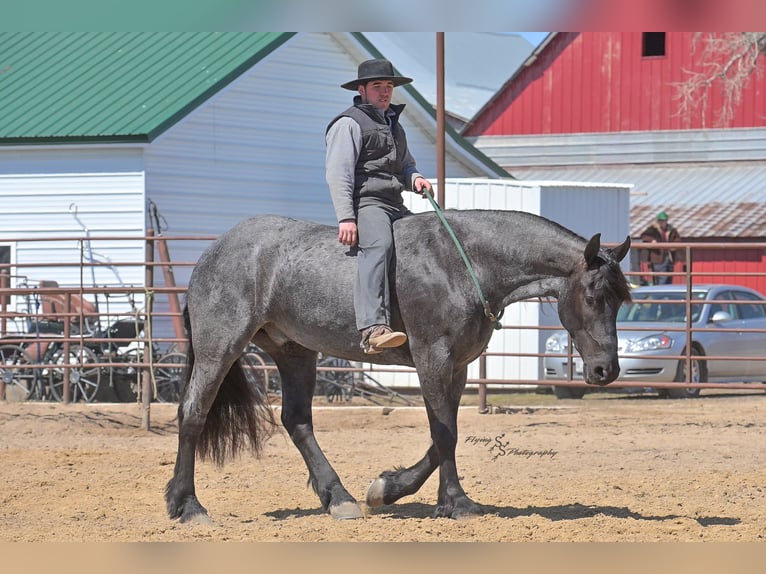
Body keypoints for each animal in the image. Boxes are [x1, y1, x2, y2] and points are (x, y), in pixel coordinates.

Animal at [165, 209, 631, 522]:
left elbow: (446, 435)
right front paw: (456, 502)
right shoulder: (432, 359)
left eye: (621, 299)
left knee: (296, 420)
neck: (463, 263)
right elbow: (444, 435)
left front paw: (388, 489)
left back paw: (339, 498)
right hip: (220, 347)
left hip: (294, 352)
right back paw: (187, 505)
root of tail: (213, 253)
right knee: (193, 414)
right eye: (593, 297)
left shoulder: (457, 367)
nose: (606, 371)